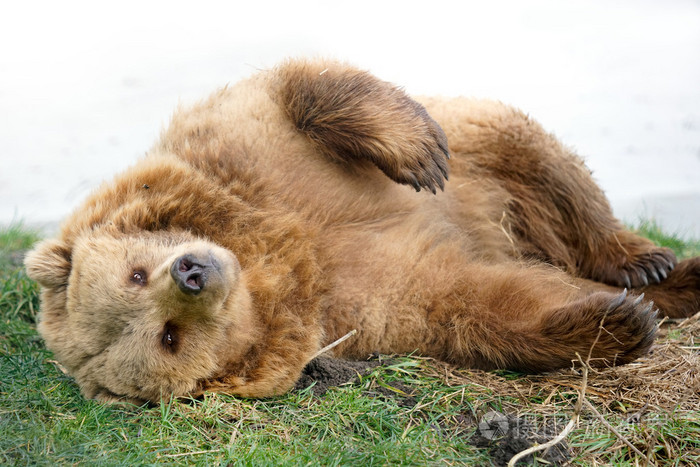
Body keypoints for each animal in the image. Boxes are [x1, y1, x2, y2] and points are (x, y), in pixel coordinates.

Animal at [23, 58, 700, 404]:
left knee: (549, 168)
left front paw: (419, 154)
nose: (192, 272)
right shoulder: (356, 306)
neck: (273, 253)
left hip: (488, 147)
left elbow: (302, 91)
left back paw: (649, 262)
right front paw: (616, 323)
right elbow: (473, 301)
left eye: (136, 272)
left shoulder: (253, 161)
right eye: (167, 337)